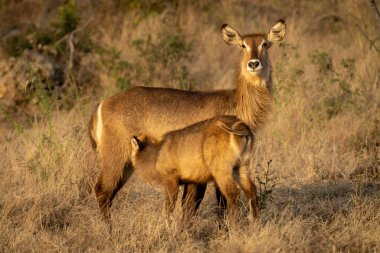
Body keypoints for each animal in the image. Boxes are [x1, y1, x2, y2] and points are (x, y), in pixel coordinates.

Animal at [89, 20, 284, 223]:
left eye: (265, 44)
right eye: (242, 45)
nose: (253, 63)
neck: (235, 102)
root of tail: (102, 104)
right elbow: (208, 204)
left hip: (127, 161)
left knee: (109, 193)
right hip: (115, 156)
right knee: (102, 190)